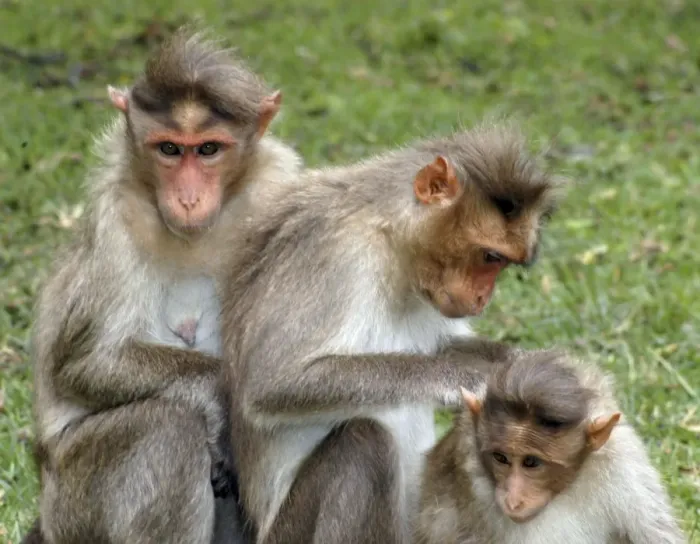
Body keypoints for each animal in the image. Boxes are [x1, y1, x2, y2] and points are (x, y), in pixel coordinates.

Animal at [28, 28, 302, 544]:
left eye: (209, 149)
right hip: (72, 502)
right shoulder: (117, 215)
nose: (188, 198)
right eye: (170, 150)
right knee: (167, 425)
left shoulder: (281, 189)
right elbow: (88, 363)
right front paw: (217, 396)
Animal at [219, 121, 567, 544]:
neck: (392, 242)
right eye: (490, 257)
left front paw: (518, 363)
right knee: (363, 442)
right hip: (287, 534)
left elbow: (445, 343)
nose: (484, 297)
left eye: (502, 264)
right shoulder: (335, 254)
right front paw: (465, 376)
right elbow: (272, 383)